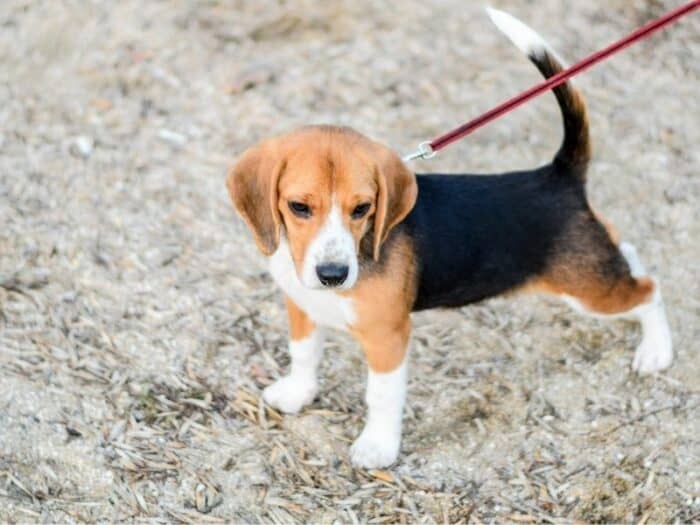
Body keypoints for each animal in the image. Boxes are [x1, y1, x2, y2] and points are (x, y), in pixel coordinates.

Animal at [226, 8, 672, 466]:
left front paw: (378, 446)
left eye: (362, 208)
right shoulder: (302, 307)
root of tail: (558, 175)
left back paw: (657, 350)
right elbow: (304, 354)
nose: (332, 274)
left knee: (650, 291)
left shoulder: (388, 337)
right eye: (299, 207)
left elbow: (381, 396)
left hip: (588, 292)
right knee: (628, 253)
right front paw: (298, 392)